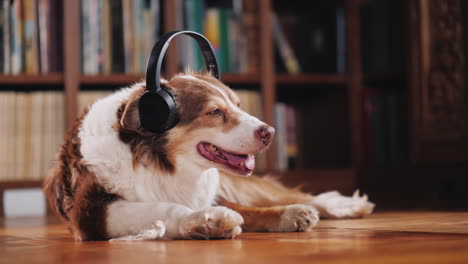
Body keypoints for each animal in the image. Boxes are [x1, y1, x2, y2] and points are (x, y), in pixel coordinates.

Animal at [43, 72, 372, 241]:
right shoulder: (92, 211)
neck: (162, 162)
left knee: (290, 195)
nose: (270, 131)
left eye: (238, 105)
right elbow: (162, 207)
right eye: (215, 111)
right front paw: (206, 220)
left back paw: (344, 205)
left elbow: (252, 210)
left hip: (236, 183)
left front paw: (289, 214)